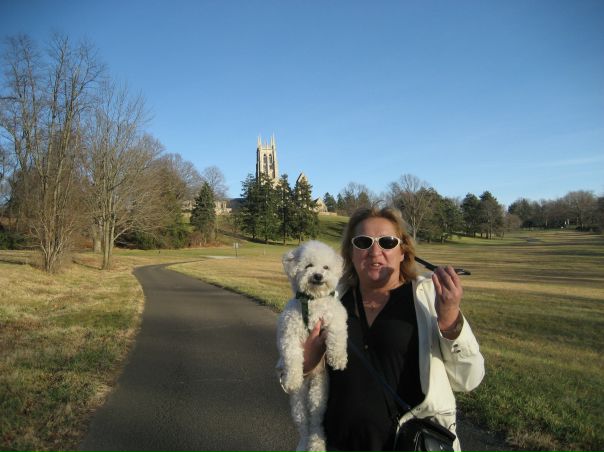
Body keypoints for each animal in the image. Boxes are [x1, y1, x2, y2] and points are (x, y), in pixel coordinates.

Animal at [276, 240, 348, 452]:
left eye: (326, 267)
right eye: (308, 266)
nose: (318, 276)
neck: (312, 301)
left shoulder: (336, 317)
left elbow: (337, 336)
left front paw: (338, 359)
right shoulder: (290, 333)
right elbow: (292, 356)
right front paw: (291, 379)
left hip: (319, 391)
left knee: (316, 421)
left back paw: (316, 444)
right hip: (298, 401)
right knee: (304, 424)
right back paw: (304, 444)